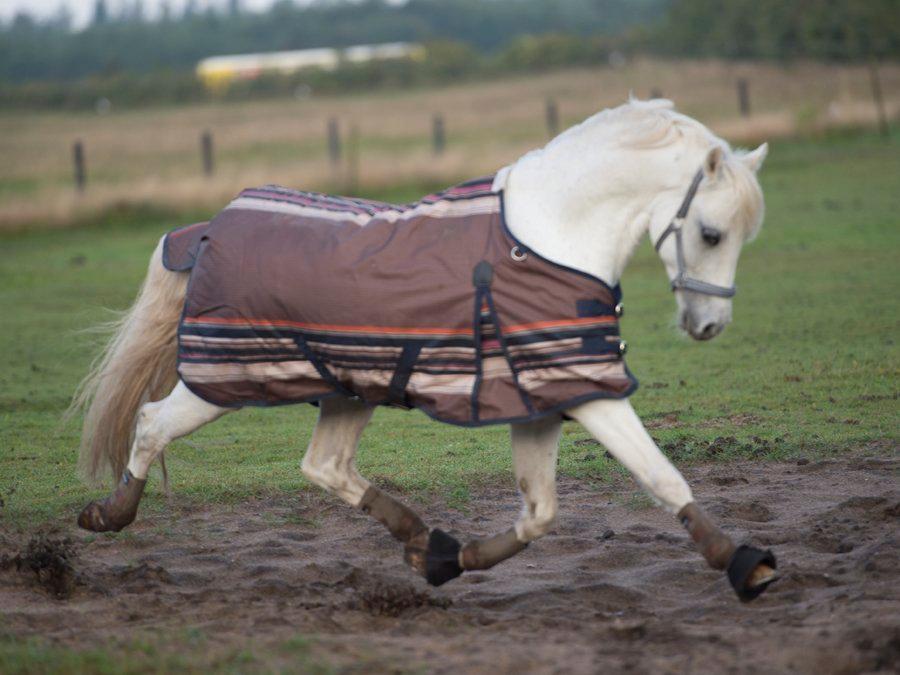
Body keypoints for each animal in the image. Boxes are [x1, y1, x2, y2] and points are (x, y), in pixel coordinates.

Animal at [72, 98, 777, 601]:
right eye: (711, 233)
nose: (708, 324)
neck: (548, 238)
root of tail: (208, 230)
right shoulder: (588, 393)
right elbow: (659, 474)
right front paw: (746, 566)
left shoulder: (541, 400)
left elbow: (541, 512)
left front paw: (452, 561)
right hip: (227, 379)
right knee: (151, 423)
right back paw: (108, 514)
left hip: (347, 389)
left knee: (325, 466)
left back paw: (422, 544)